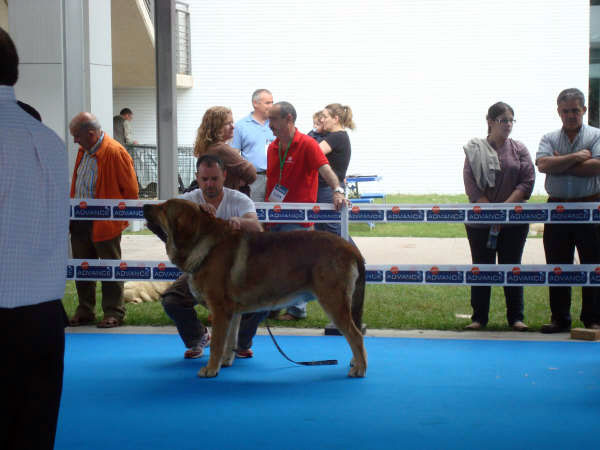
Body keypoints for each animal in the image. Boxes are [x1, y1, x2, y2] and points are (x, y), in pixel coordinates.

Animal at [144, 199, 368, 378]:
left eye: (164, 207)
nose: (145, 205)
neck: (205, 245)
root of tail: (350, 248)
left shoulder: (219, 310)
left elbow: (216, 344)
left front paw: (211, 369)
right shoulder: (232, 313)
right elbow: (229, 341)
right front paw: (225, 363)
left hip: (333, 302)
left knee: (355, 335)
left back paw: (360, 369)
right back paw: (356, 363)